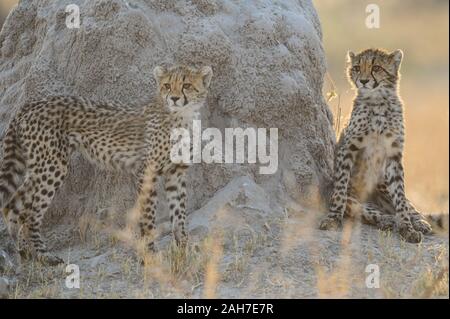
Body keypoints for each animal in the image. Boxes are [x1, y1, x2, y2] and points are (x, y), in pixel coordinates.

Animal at [0, 63, 214, 264]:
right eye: (167, 85)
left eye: (186, 85)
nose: (174, 98)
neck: (181, 117)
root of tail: (31, 103)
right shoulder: (147, 171)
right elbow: (148, 216)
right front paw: (150, 256)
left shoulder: (175, 173)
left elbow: (179, 214)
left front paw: (184, 251)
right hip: (52, 166)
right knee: (30, 214)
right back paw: (43, 256)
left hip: (40, 166)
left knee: (13, 205)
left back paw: (24, 254)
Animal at [318, 48, 434, 242]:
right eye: (357, 67)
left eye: (376, 67)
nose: (364, 81)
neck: (378, 101)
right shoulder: (348, 148)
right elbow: (340, 189)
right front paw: (332, 218)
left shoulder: (394, 155)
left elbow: (400, 198)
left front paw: (408, 228)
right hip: (357, 201)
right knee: (369, 211)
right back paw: (388, 221)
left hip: (384, 184)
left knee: (409, 207)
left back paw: (420, 223)